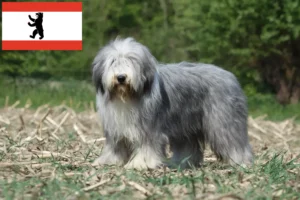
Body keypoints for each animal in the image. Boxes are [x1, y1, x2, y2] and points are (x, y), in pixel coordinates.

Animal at [92, 37, 253, 169]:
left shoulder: (149, 128)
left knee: (233, 141)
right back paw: (181, 162)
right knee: (189, 146)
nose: (121, 77)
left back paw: (241, 161)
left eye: (131, 61)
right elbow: (116, 147)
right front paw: (109, 161)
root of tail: (230, 76)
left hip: (223, 121)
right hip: (186, 124)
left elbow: (148, 146)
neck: (128, 97)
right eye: (113, 61)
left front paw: (141, 163)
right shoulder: (115, 128)